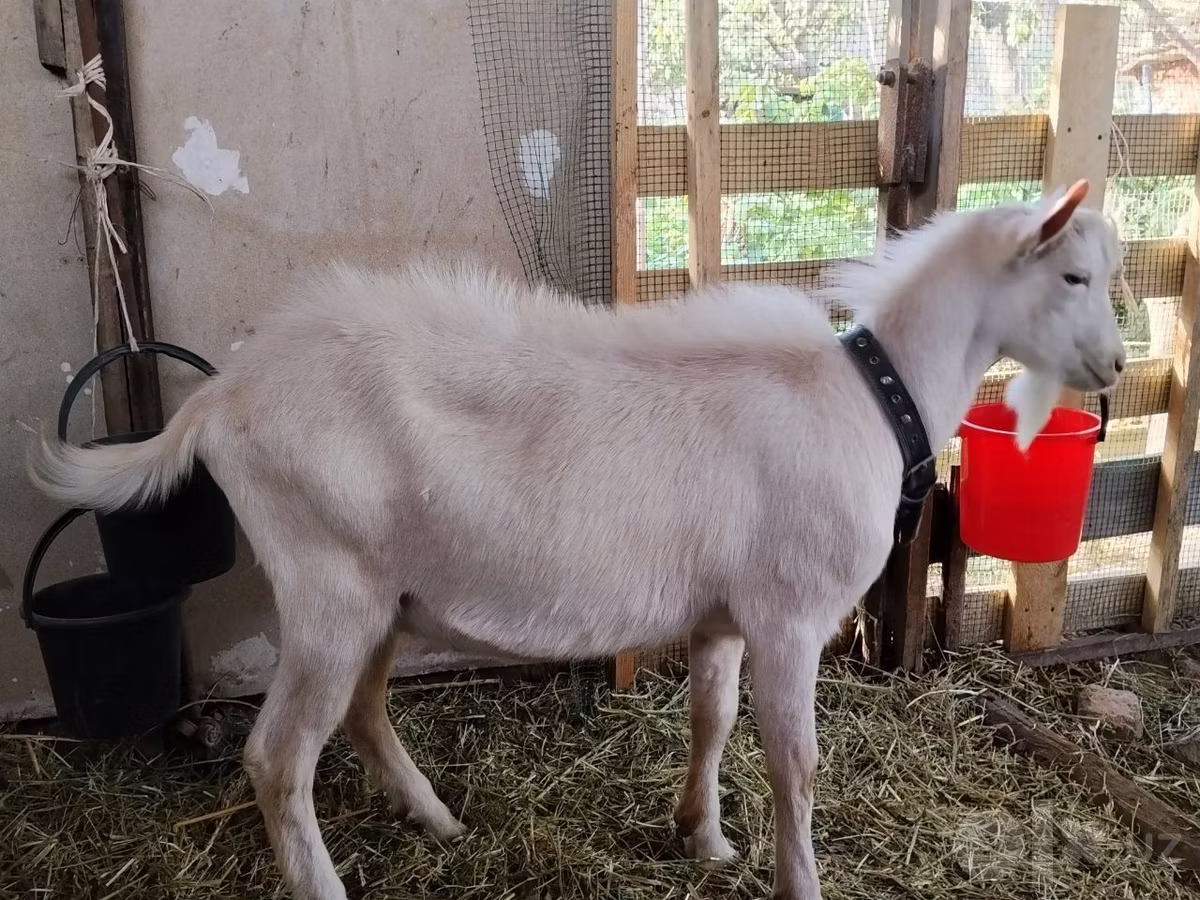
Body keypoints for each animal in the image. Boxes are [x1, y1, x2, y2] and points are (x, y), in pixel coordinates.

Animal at [29, 182, 1124, 900]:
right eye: (1074, 273)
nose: (1117, 369)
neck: (874, 397)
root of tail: (221, 398)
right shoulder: (788, 615)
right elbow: (795, 761)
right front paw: (795, 879)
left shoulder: (724, 615)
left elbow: (710, 723)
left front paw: (703, 839)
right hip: (326, 580)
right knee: (277, 757)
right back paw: (326, 883)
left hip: (383, 593)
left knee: (364, 712)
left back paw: (437, 818)